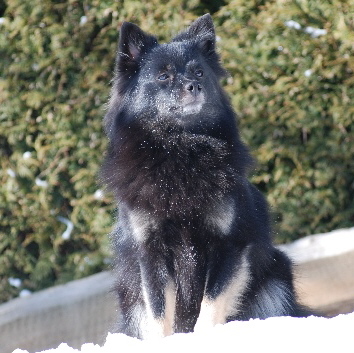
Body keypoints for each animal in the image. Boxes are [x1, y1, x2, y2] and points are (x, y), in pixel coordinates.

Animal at [101, 13, 308, 338]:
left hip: (277, 278)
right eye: (163, 76)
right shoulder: (151, 253)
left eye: (199, 72)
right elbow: (159, 312)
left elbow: (211, 303)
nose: (194, 86)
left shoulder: (228, 245)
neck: (181, 149)